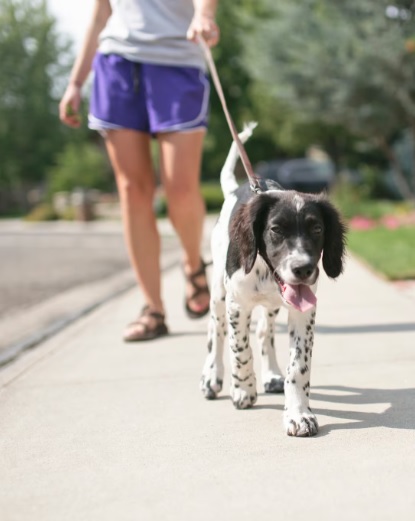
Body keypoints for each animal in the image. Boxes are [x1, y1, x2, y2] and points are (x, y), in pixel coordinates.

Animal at [202, 124, 348, 436]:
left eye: (317, 229)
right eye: (276, 230)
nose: (303, 269)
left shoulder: (303, 311)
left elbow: (299, 366)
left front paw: (298, 413)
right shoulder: (237, 305)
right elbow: (239, 349)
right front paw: (243, 390)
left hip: (272, 306)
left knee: (263, 332)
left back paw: (270, 375)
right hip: (219, 293)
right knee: (216, 331)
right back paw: (212, 377)